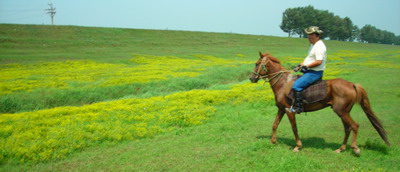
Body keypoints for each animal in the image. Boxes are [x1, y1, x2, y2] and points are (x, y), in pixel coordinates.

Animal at [248, 51, 390, 156]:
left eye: (257, 63)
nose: (251, 78)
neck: (283, 84)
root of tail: (351, 84)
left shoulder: (289, 111)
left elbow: (294, 128)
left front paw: (297, 146)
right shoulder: (282, 109)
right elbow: (275, 125)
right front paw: (273, 141)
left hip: (341, 111)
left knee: (354, 126)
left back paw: (355, 148)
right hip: (344, 112)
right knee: (347, 128)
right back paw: (341, 149)